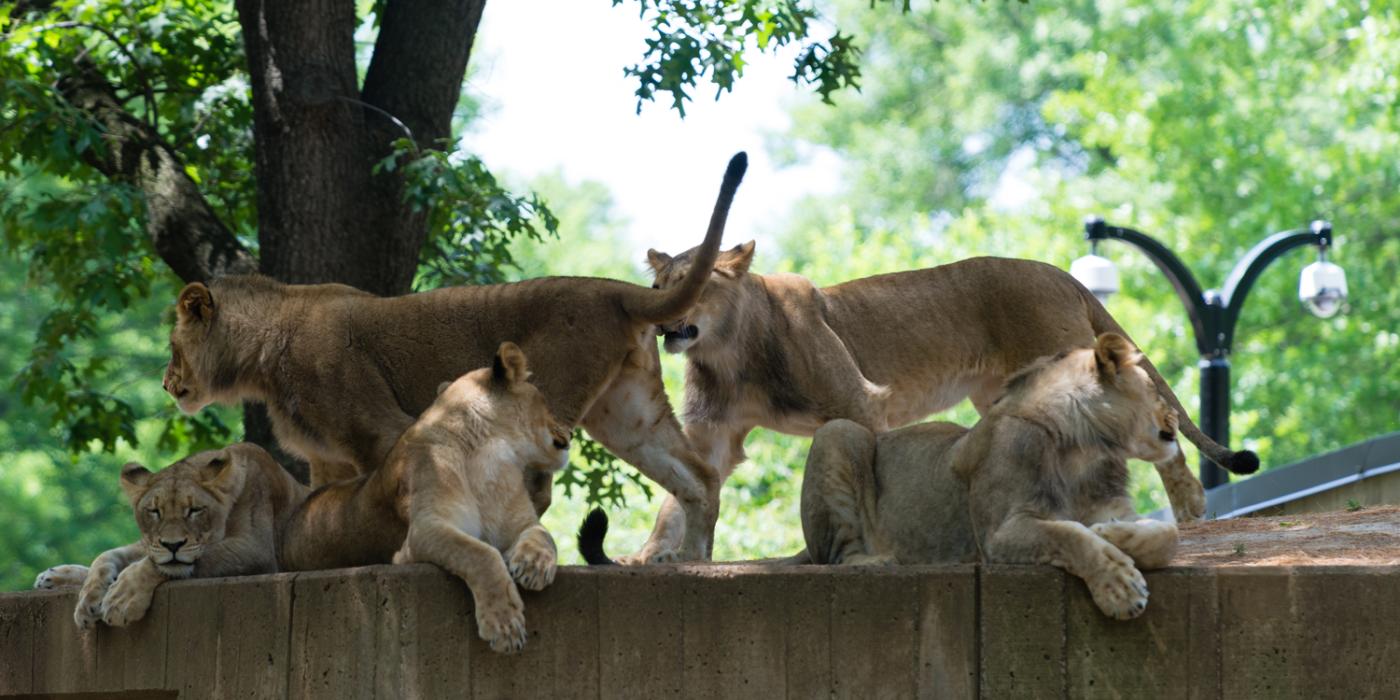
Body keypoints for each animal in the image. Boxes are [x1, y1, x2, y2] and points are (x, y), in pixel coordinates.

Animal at [33, 445, 309, 632]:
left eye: (194, 510)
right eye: (155, 511)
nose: (173, 545)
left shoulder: (256, 549)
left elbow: (166, 565)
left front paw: (121, 598)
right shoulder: (150, 543)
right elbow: (105, 556)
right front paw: (87, 599)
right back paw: (50, 577)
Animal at [800, 333, 1181, 618]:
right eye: (1155, 389)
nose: (1176, 415)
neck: (1084, 448)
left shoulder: (1114, 506)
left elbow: (1168, 535)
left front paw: (1112, 533)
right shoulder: (999, 533)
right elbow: (1069, 535)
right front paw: (1120, 587)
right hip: (839, 433)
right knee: (837, 557)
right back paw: (881, 559)